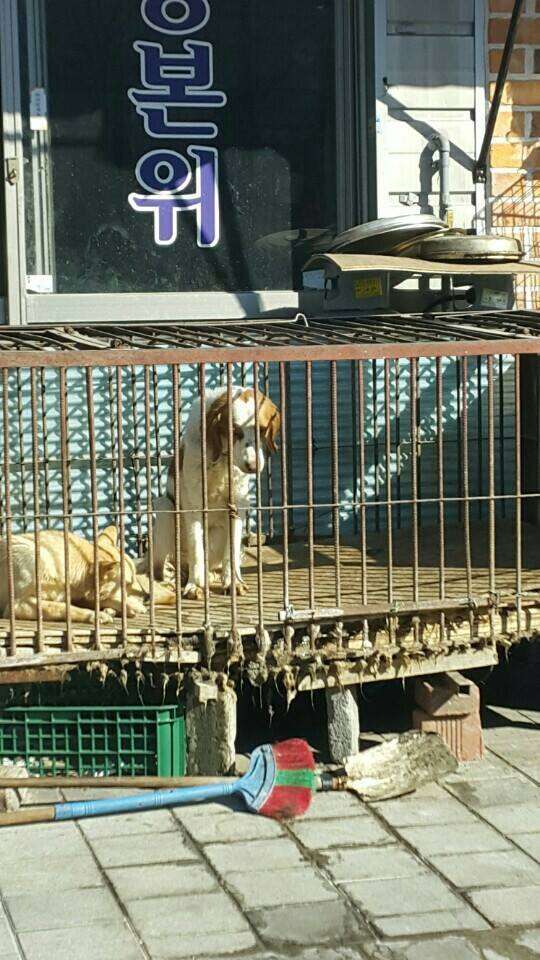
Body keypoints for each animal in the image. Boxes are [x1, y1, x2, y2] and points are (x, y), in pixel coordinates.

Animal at [0, 524, 174, 624]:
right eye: (127, 583)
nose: (147, 596)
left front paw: (127, 605)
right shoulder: (16, 606)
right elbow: (61, 607)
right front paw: (96, 616)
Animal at [141, 384, 280, 600]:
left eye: (262, 429)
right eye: (234, 431)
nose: (253, 466)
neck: (221, 459)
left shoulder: (238, 505)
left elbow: (231, 552)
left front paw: (233, 582)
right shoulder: (195, 506)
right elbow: (196, 549)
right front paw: (195, 586)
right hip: (166, 510)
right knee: (161, 567)